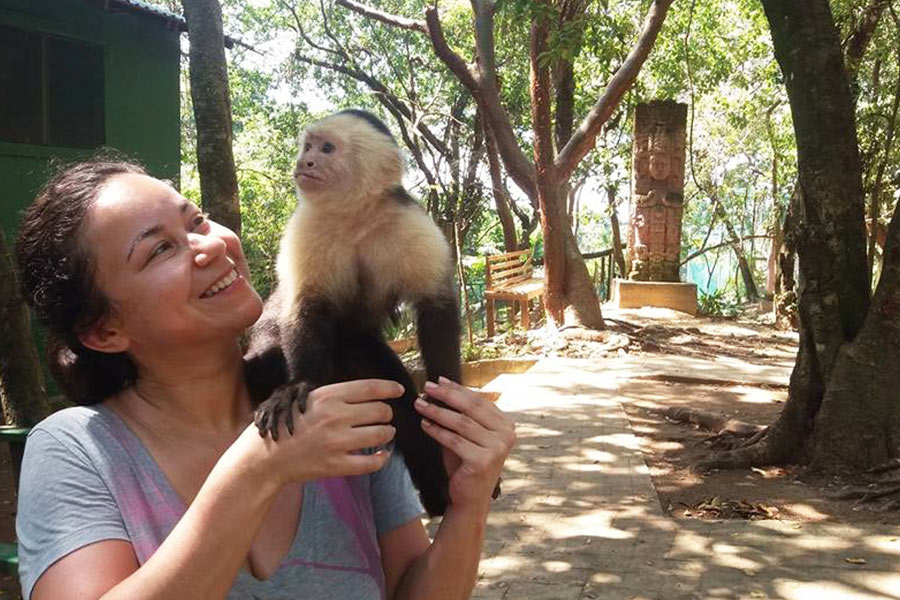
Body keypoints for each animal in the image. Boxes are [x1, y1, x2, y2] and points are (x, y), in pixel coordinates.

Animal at [244, 109, 460, 516]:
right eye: (308, 145)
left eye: (327, 149)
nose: (304, 162)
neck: (355, 218)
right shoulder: (306, 226)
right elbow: (306, 307)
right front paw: (300, 385)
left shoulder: (407, 221)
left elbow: (436, 306)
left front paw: (447, 400)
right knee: (266, 358)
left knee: (397, 400)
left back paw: (439, 491)